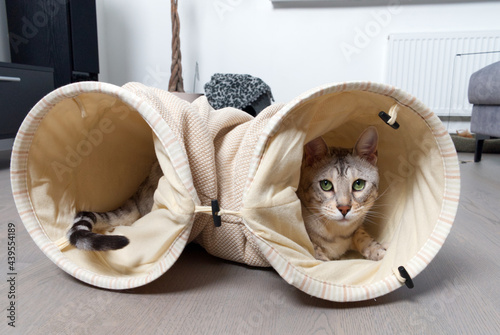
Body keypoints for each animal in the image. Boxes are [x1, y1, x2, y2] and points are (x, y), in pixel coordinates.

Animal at [296, 126, 386, 262]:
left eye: (358, 184)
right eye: (325, 184)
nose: (344, 208)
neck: (337, 235)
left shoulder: (356, 228)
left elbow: (362, 235)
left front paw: (379, 250)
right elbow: (315, 250)